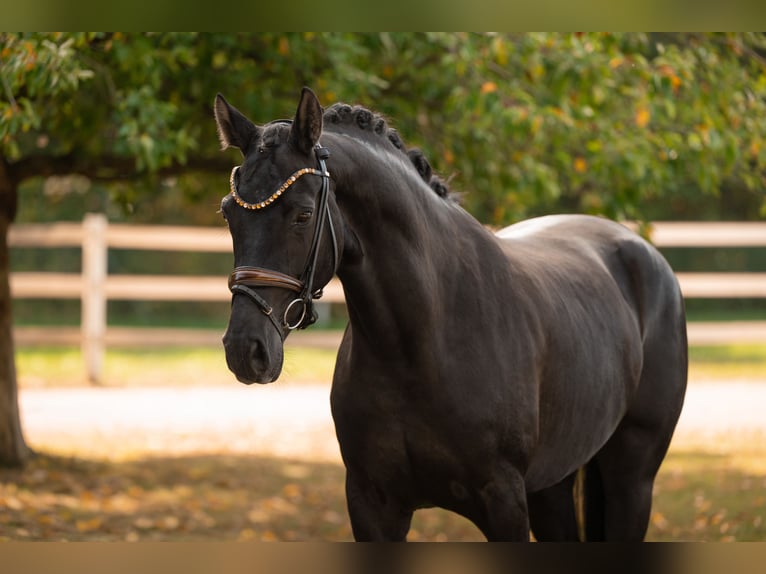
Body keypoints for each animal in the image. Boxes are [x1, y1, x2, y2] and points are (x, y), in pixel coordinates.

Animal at [215, 87, 687, 541]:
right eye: (228, 213)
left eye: (303, 214)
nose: (245, 350)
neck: (421, 341)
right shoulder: (372, 504)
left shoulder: (504, 502)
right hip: (553, 485)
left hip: (632, 481)